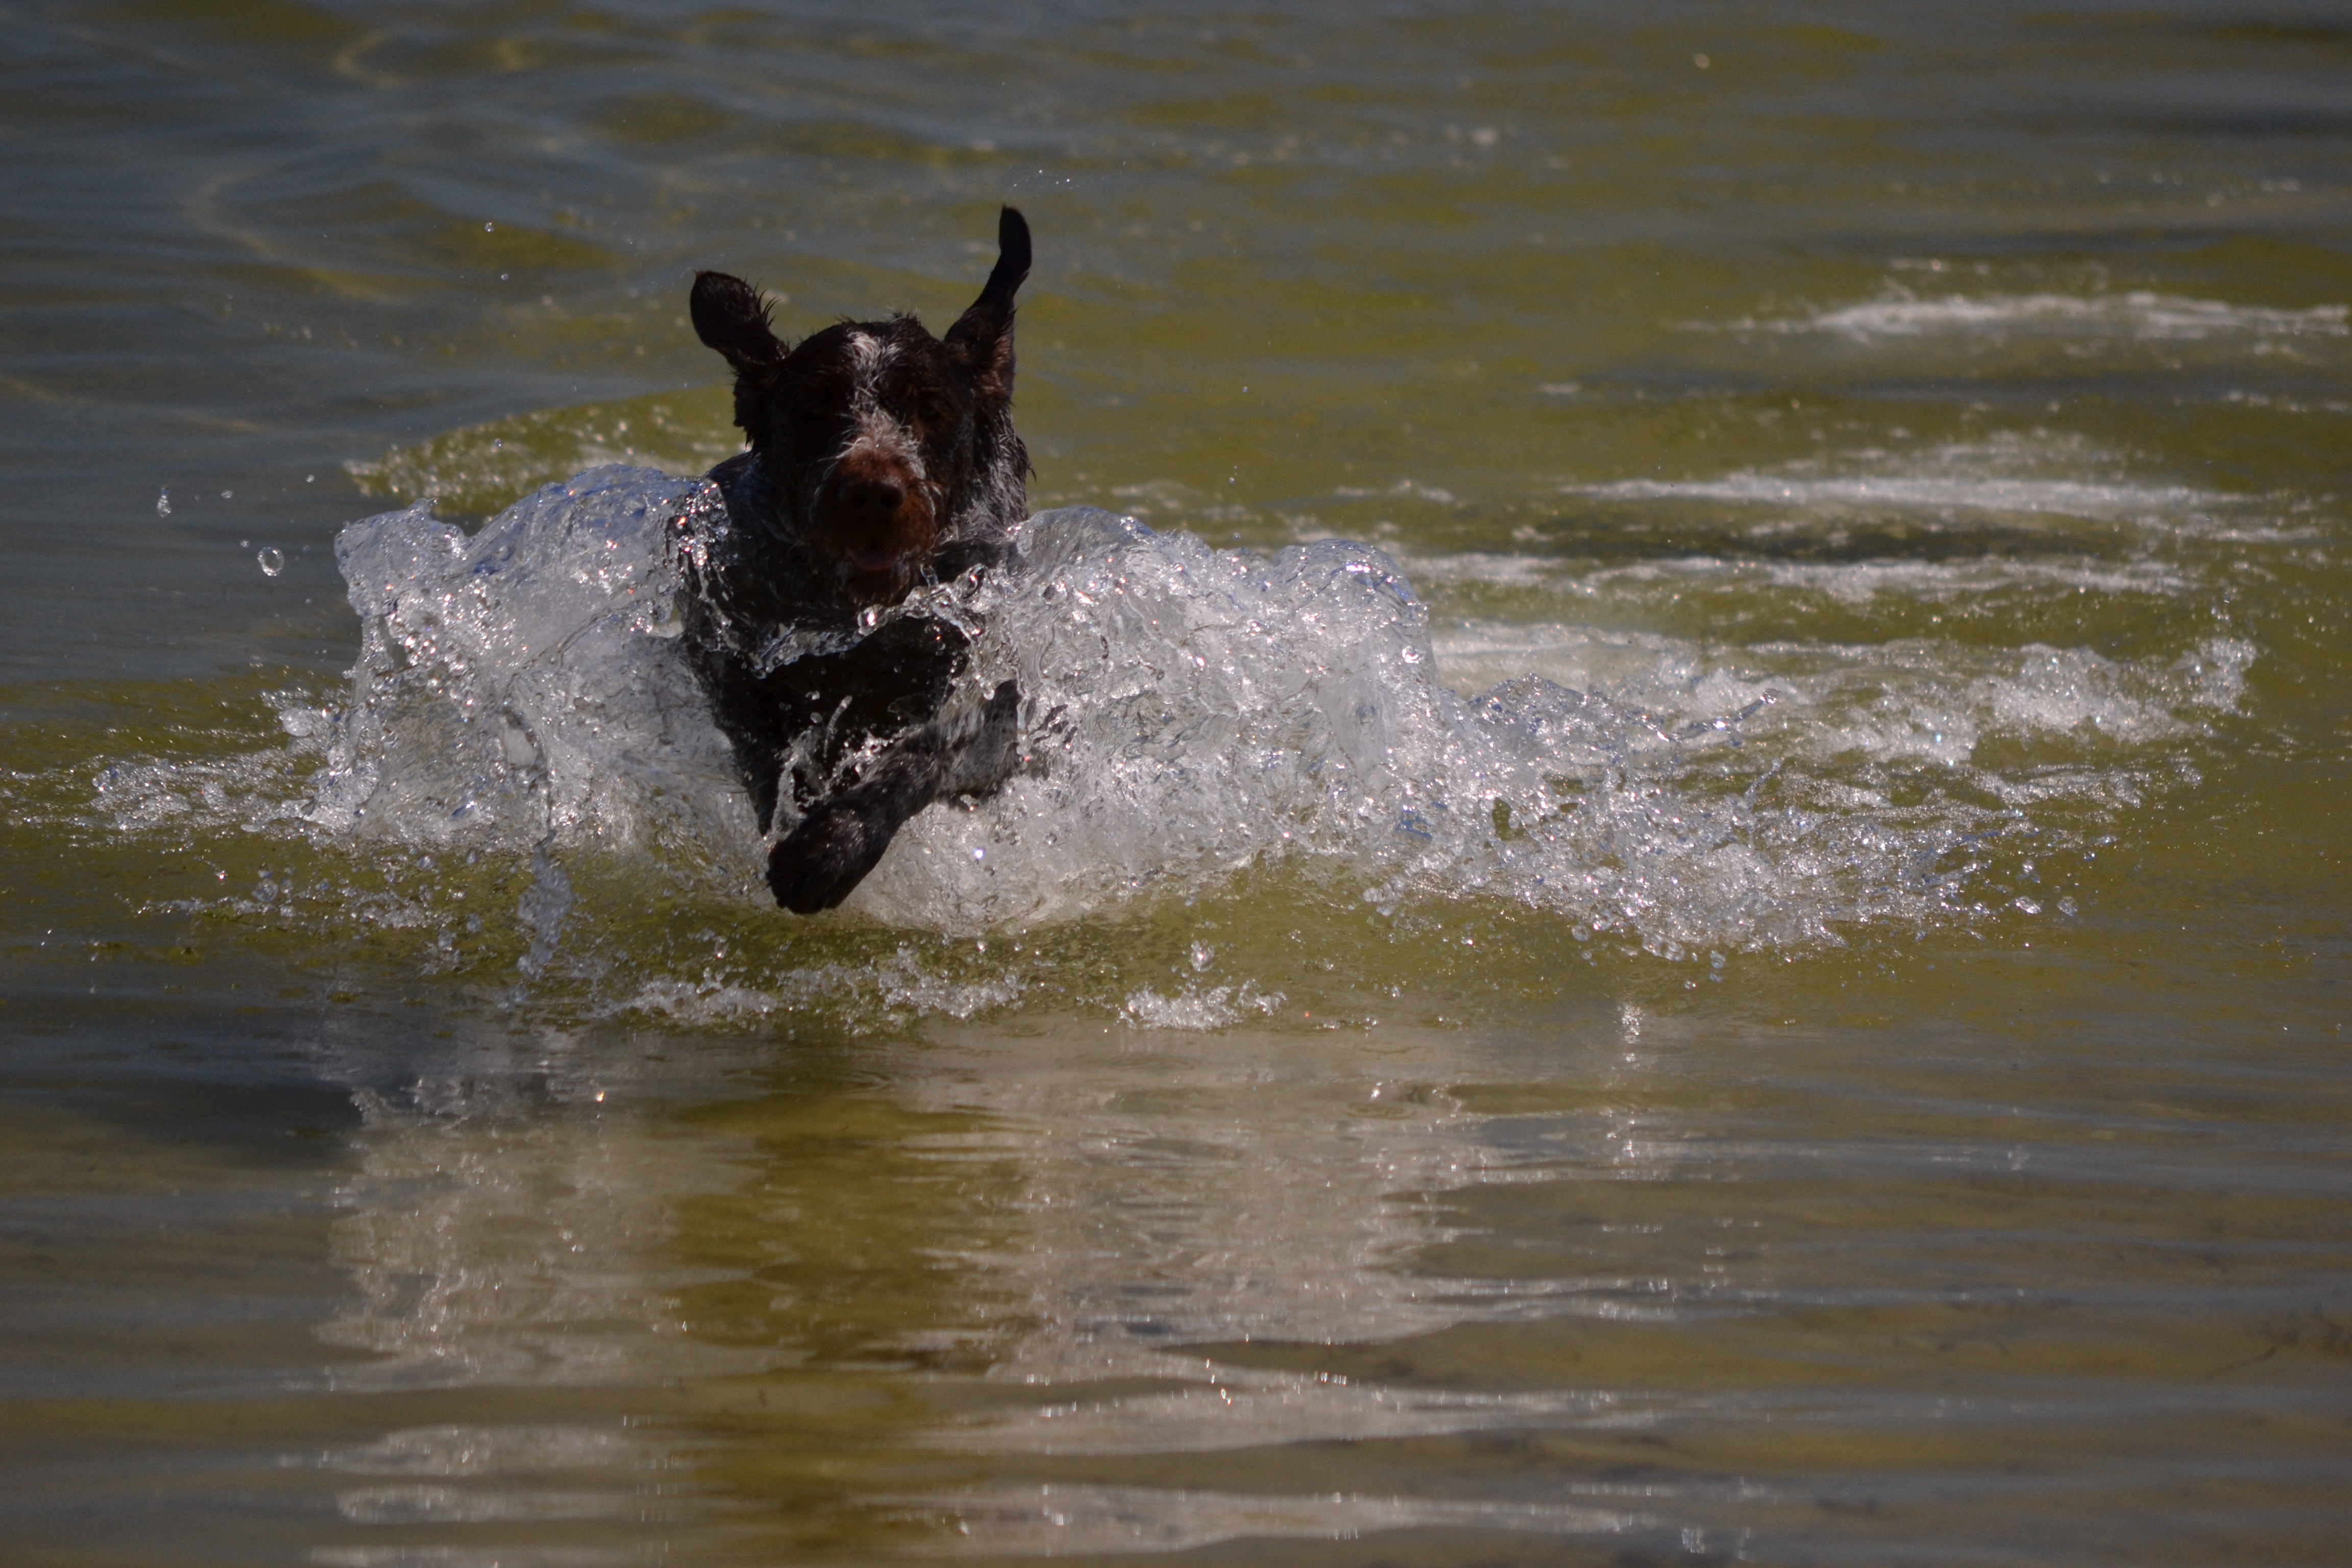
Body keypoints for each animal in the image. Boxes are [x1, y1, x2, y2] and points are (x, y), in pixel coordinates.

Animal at [673, 207, 1033, 913]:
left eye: (930, 408)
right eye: (817, 408)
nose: (872, 491)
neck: (860, 625)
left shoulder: (993, 717)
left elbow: (923, 757)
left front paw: (834, 846)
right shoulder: (726, 659)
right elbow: (768, 751)